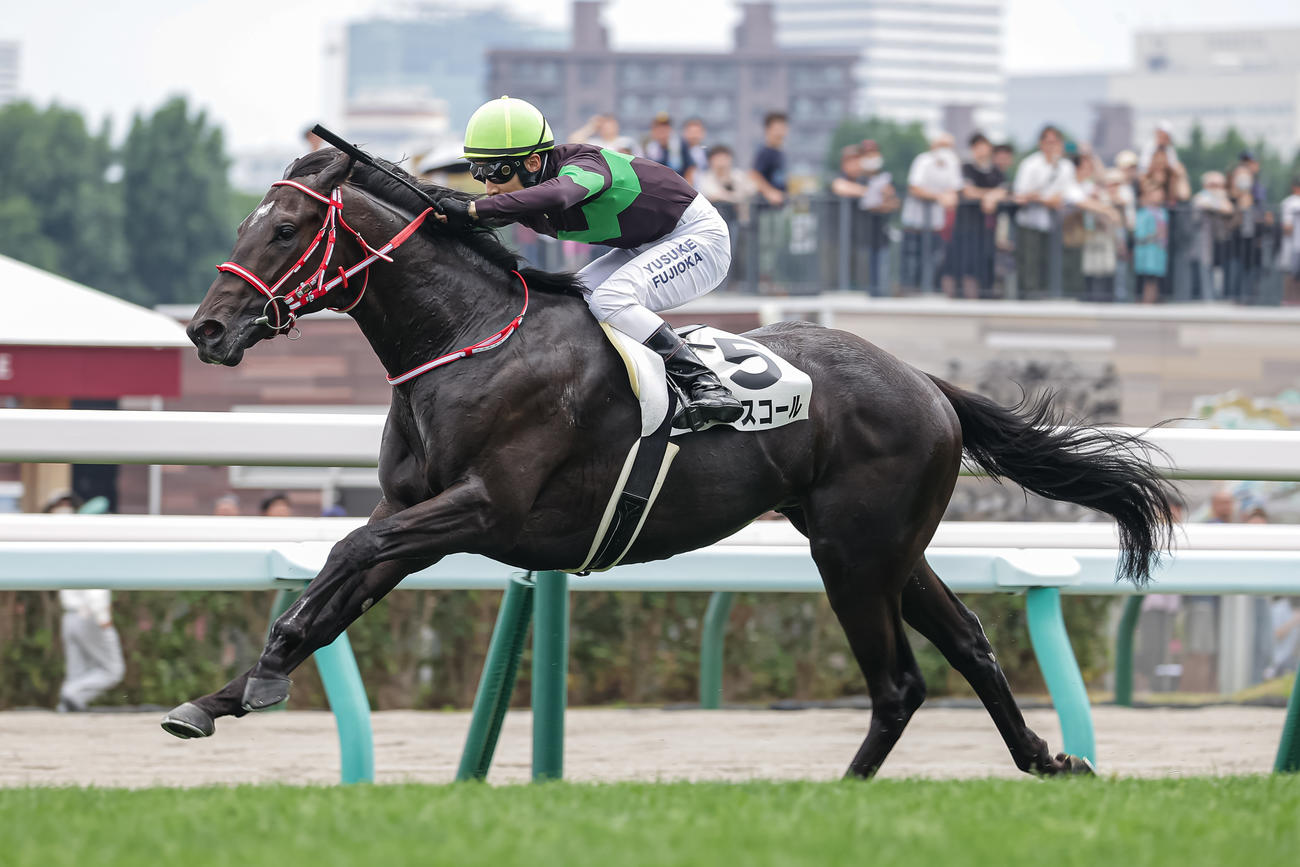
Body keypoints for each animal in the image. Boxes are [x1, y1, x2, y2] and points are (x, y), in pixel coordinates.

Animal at [164, 146, 1172, 779]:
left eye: (286, 229)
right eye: (252, 221)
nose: (206, 329)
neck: (467, 339)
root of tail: (925, 380)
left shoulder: (483, 507)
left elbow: (342, 557)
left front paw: (257, 676)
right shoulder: (414, 517)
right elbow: (338, 587)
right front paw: (224, 693)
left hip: (854, 554)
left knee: (898, 683)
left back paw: (837, 797)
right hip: (889, 547)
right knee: (967, 644)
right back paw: (1047, 757)